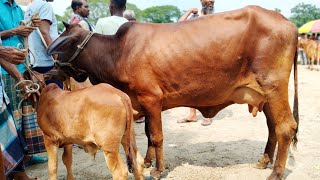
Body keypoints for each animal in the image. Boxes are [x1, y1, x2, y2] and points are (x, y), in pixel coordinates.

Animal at [46, 5, 298, 180]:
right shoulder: (144, 104)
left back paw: (276, 172)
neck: (117, 52)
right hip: (265, 96)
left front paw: (157, 170)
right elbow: (148, 134)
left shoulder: (151, 99)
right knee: (273, 127)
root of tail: (289, 23)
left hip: (275, 88)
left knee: (286, 128)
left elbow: (157, 136)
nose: (50, 71)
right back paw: (263, 161)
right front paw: (148, 162)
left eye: (62, 46)